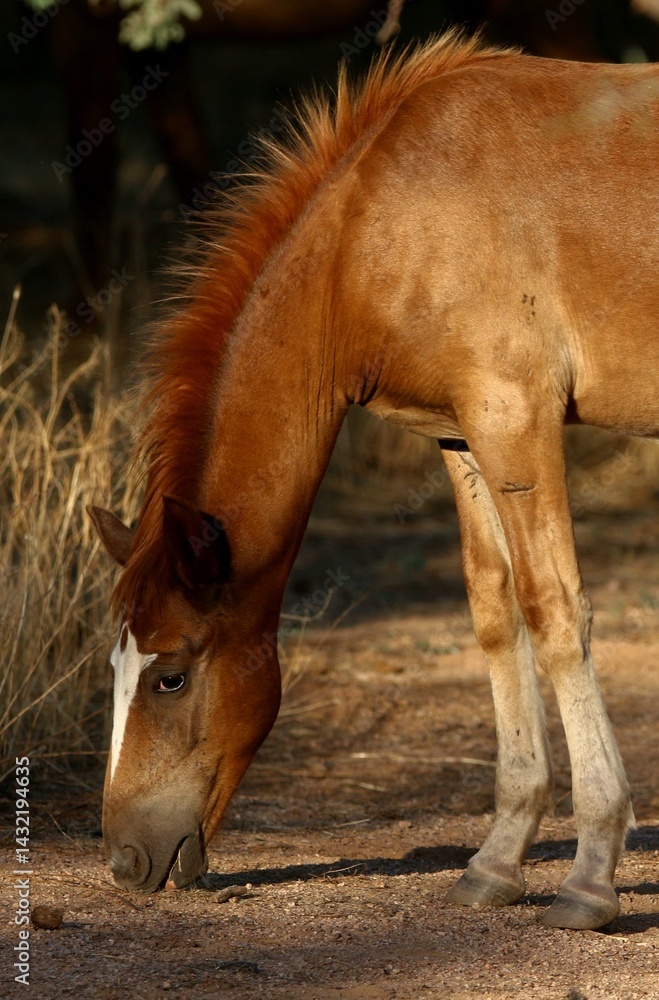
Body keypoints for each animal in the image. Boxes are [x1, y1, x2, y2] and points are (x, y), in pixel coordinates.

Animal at [89, 31, 659, 931]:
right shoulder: (461, 432)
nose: (123, 861)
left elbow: (554, 613)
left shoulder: (515, 418)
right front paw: (497, 859)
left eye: (171, 674)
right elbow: (495, 613)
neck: (381, 222)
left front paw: (591, 872)